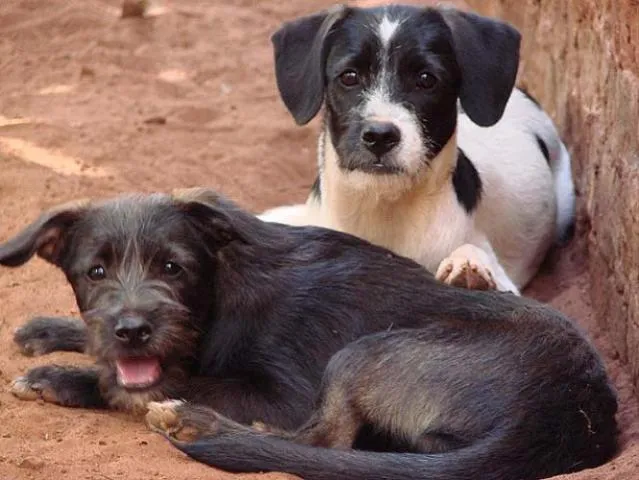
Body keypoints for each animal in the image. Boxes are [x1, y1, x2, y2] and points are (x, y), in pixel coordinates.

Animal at [0, 188, 620, 480]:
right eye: (95, 272)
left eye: (174, 268)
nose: (132, 329)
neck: (224, 289)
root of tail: (567, 414)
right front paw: (50, 333)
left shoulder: (283, 393)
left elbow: (140, 383)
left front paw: (67, 377)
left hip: (363, 352)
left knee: (325, 441)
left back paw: (200, 424)